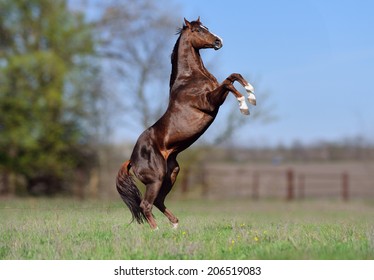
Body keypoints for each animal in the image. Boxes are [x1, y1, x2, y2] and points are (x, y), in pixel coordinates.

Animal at [117, 17, 258, 229]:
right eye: (199, 30)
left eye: (206, 27)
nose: (218, 41)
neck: (190, 79)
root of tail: (132, 160)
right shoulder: (209, 102)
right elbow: (228, 82)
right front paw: (244, 106)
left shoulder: (216, 98)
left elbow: (234, 75)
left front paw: (251, 94)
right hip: (157, 178)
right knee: (146, 204)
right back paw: (157, 231)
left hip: (172, 173)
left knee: (159, 201)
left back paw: (175, 226)